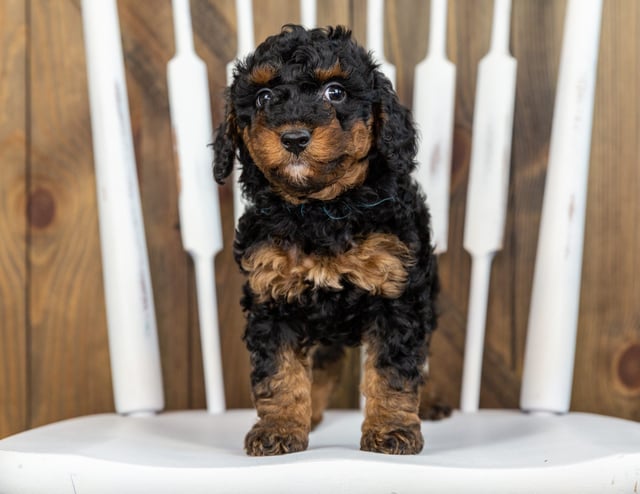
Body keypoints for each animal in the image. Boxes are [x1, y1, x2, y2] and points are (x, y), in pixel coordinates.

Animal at [214, 24, 440, 456]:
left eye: (335, 92)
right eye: (263, 97)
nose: (294, 138)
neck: (321, 209)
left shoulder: (398, 296)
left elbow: (393, 369)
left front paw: (391, 430)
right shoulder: (272, 299)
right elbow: (279, 371)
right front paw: (279, 429)